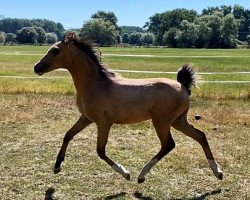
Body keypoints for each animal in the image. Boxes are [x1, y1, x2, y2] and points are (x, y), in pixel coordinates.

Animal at [33, 32, 223, 183]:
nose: (36, 67)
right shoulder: (86, 118)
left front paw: (125, 173)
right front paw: (57, 166)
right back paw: (218, 172)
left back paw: (141, 175)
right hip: (178, 121)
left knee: (168, 144)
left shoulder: (103, 123)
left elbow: (100, 151)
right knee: (200, 136)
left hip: (162, 122)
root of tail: (183, 86)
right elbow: (68, 135)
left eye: (55, 50)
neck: (95, 84)